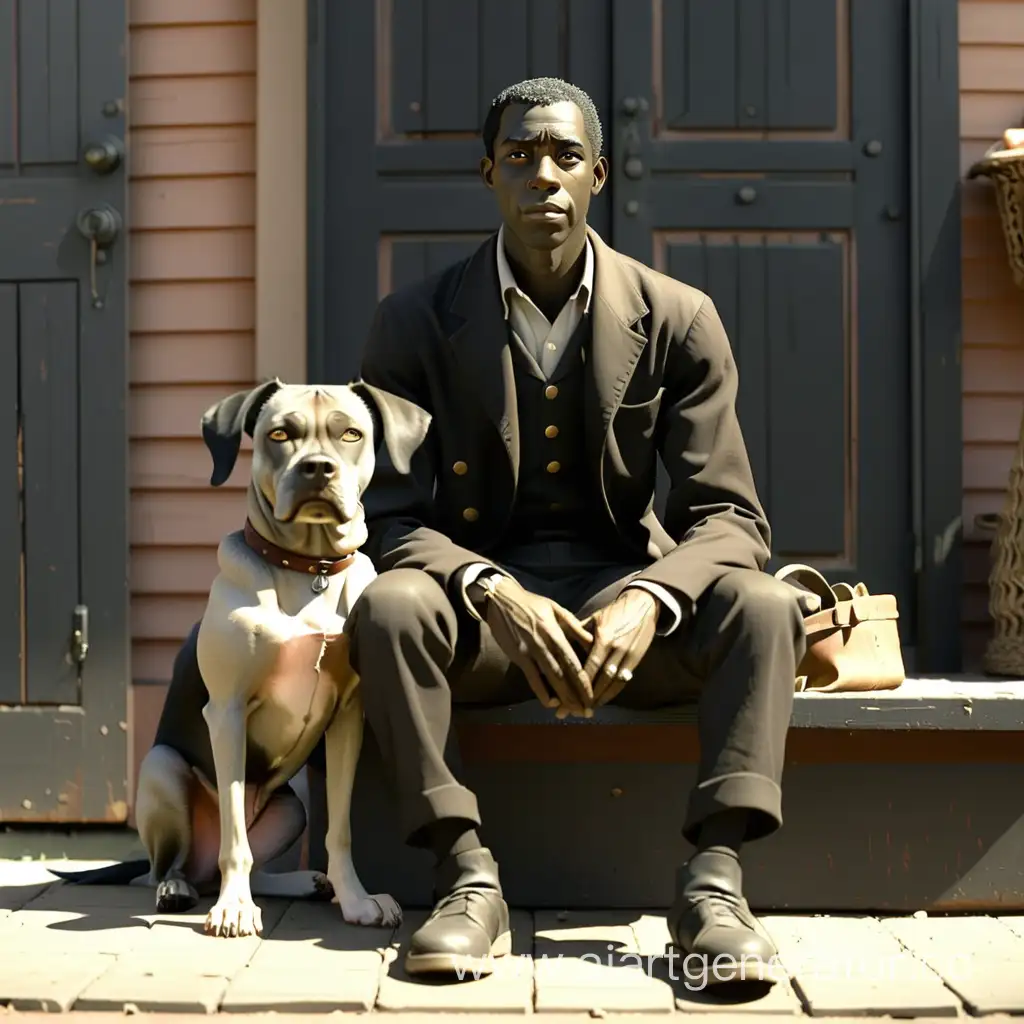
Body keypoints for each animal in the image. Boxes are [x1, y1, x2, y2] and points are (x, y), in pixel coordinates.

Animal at [51, 376, 432, 937]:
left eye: (351, 434)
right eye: (279, 433)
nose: (317, 469)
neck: (310, 568)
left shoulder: (348, 718)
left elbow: (339, 829)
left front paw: (356, 899)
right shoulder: (227, 712)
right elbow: (236, 840)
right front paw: (234, 908)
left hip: (291, 808)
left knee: (241, 860)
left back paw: (301, 882)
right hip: (162, 769)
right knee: (175, 865)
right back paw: (178, 889)